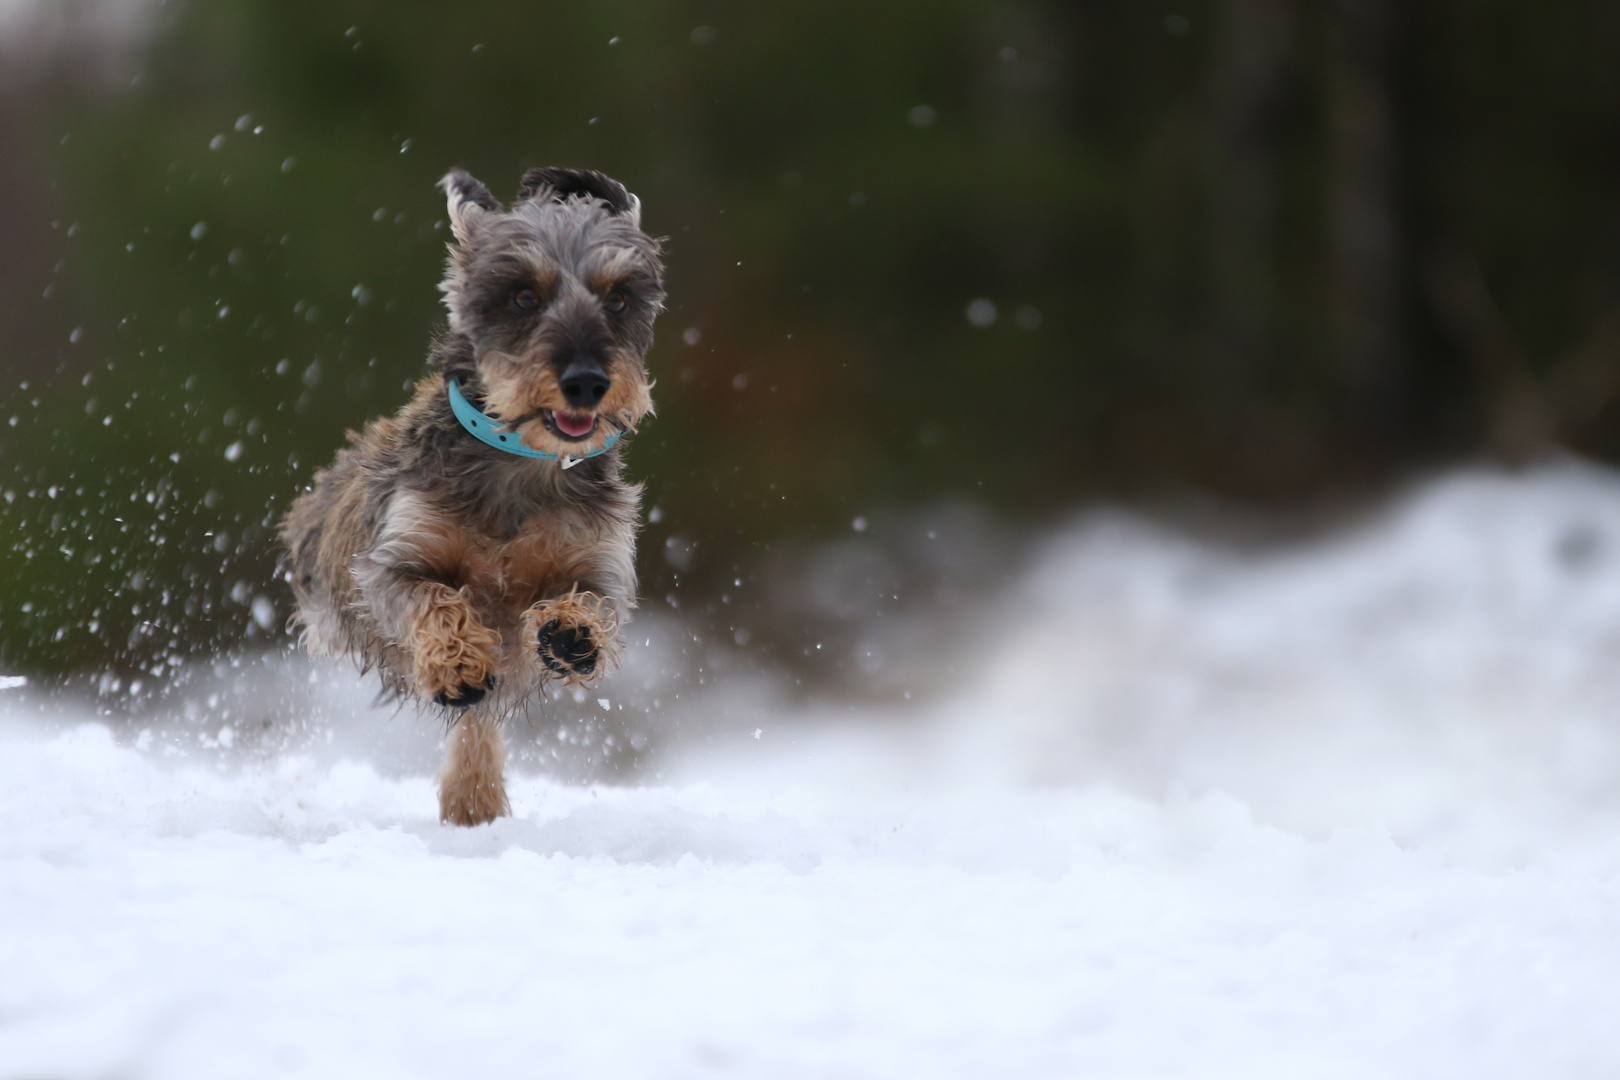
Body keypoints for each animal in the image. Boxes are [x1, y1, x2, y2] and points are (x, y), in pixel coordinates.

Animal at [281, 166, 660, 829]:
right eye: (522, 296)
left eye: (618, 298)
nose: (587, 381)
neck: (521, 465)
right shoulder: (387, 562)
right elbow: (432, 598)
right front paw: (458, 664)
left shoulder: (601, 558)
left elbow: (595, 599)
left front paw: (571, 631)